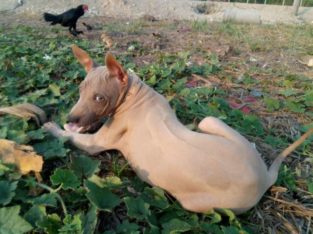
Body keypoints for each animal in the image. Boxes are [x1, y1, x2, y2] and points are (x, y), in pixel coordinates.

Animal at [44, 44, 312, 215]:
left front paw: (53, 126)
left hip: (196, 203)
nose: (71, 117)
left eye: (99, 98)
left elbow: (74, 138)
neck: (135, 94)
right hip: (209, 121)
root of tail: (265, 177)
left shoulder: (96, 141)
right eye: (80, 91)